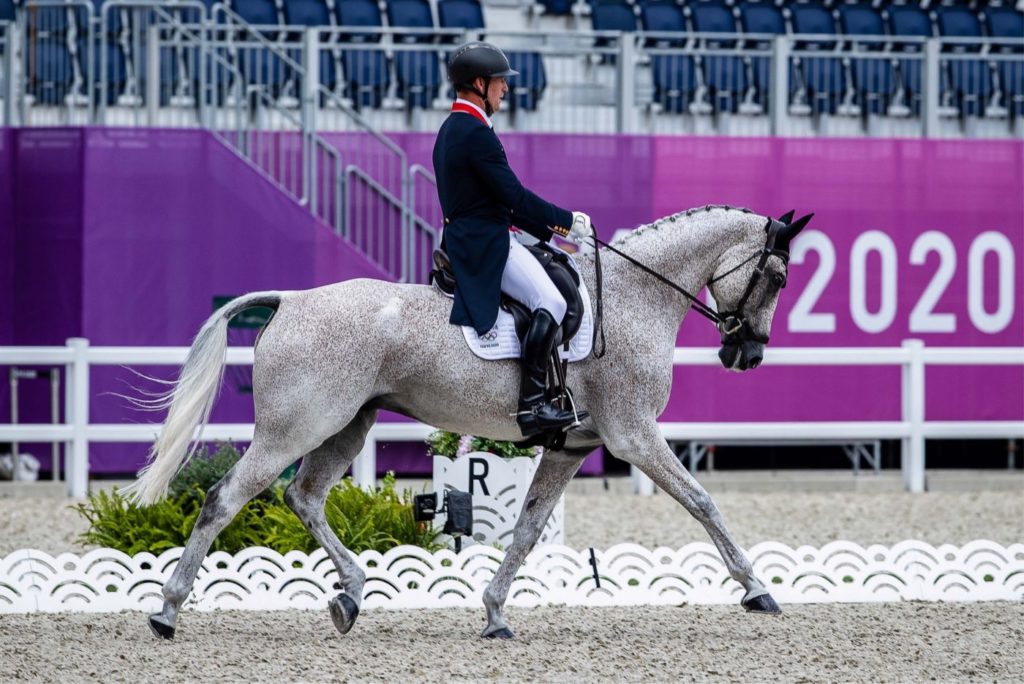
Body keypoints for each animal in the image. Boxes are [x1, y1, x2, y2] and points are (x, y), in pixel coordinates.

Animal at [128, 204, 811, 643]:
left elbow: (528, 530)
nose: (747, 354)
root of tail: (292, 300)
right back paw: (167, 612)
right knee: (225, 499)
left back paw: (351, 592)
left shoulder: (572, 446)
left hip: (347, 425)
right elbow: (702, 501)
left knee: (304, 495)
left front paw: (494, 614)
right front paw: (757, 589)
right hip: (293, 429)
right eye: (777, 276)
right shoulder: (634, 434)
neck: (632, 298)